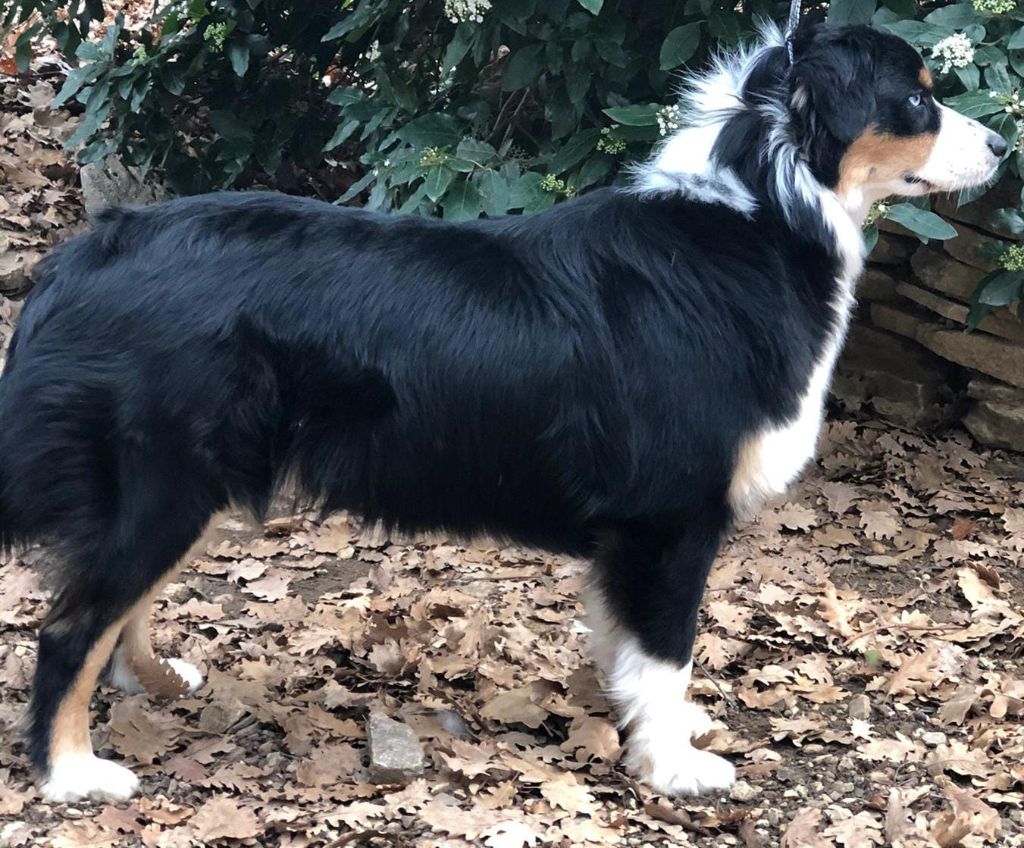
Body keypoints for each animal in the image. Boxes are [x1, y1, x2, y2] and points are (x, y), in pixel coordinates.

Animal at [0, 22, 1004, 803]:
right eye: (914, 101)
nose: (1002, 149)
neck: (762, 208)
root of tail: (81, 254)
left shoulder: (631, 534)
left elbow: (629, 647)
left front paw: (637, 727)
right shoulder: (671, 519)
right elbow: (667, 650)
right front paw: (675, 767)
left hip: (186, 485)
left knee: (117, 612)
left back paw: (155, 683)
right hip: (163, 480)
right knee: (70, 629)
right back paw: (72, 775)